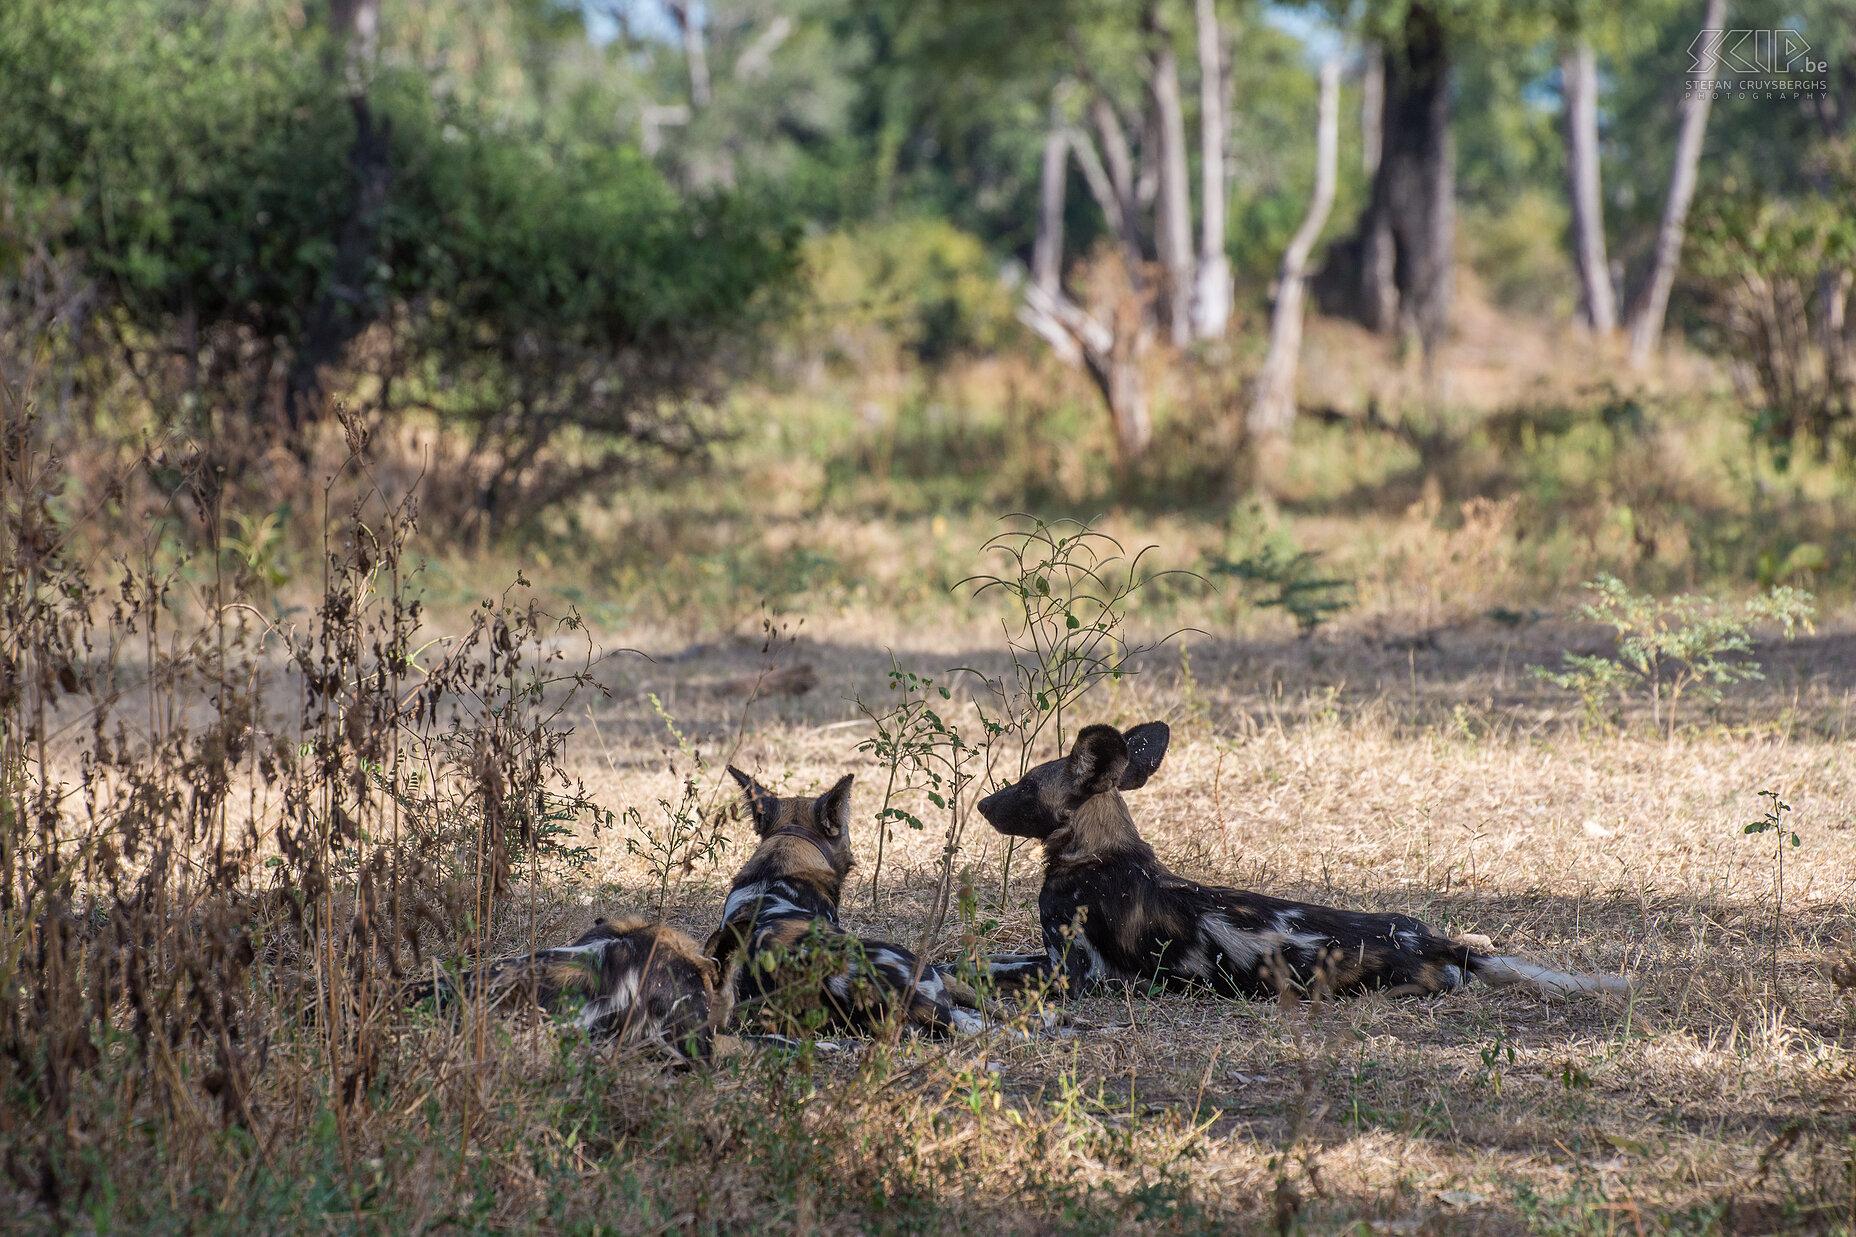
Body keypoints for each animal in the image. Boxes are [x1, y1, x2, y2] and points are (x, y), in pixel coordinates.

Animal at [979, 716, 1633, 995]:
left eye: (1025, 787)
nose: (984, 804)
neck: (1098, 853)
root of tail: (1429, 940)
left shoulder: (1073, 974)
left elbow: (986, 966)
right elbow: (988, 955)